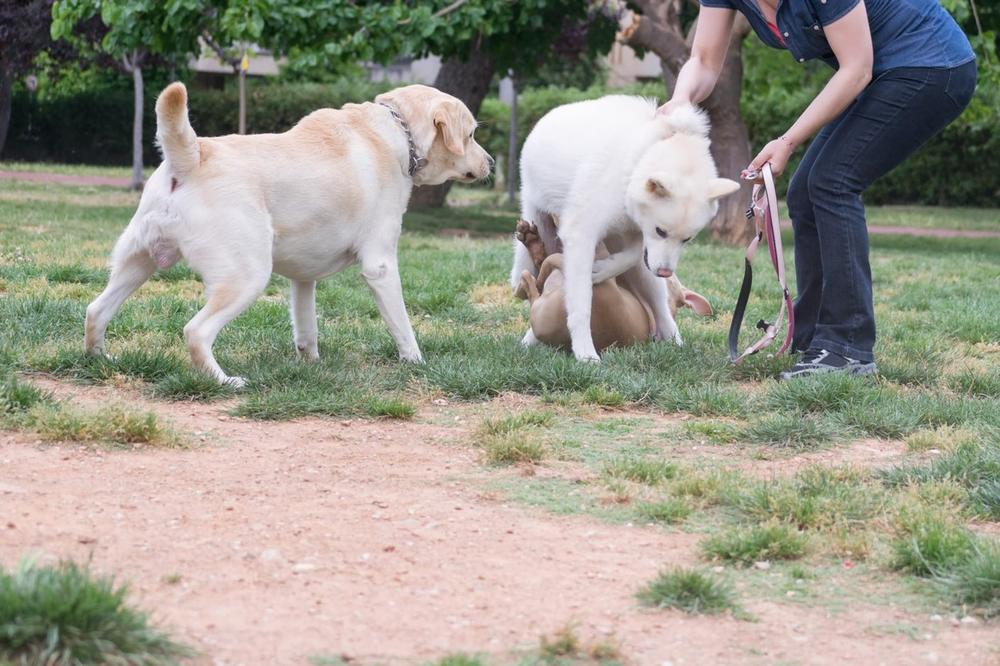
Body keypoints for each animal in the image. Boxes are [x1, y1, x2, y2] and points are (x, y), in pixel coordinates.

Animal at [86, 82, 492, 384]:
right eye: (471, 134)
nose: (490, 162)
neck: (398, 132)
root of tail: (193, 156)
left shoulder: (303, 278)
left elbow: (306, 328)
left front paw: (311, 364)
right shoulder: (380, 266)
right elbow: (403, 327)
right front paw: (416, 362)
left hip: (137, 264)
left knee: (95, 311)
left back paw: (100, 360)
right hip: (247, 276)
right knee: (195, 332)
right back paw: (225, 381)